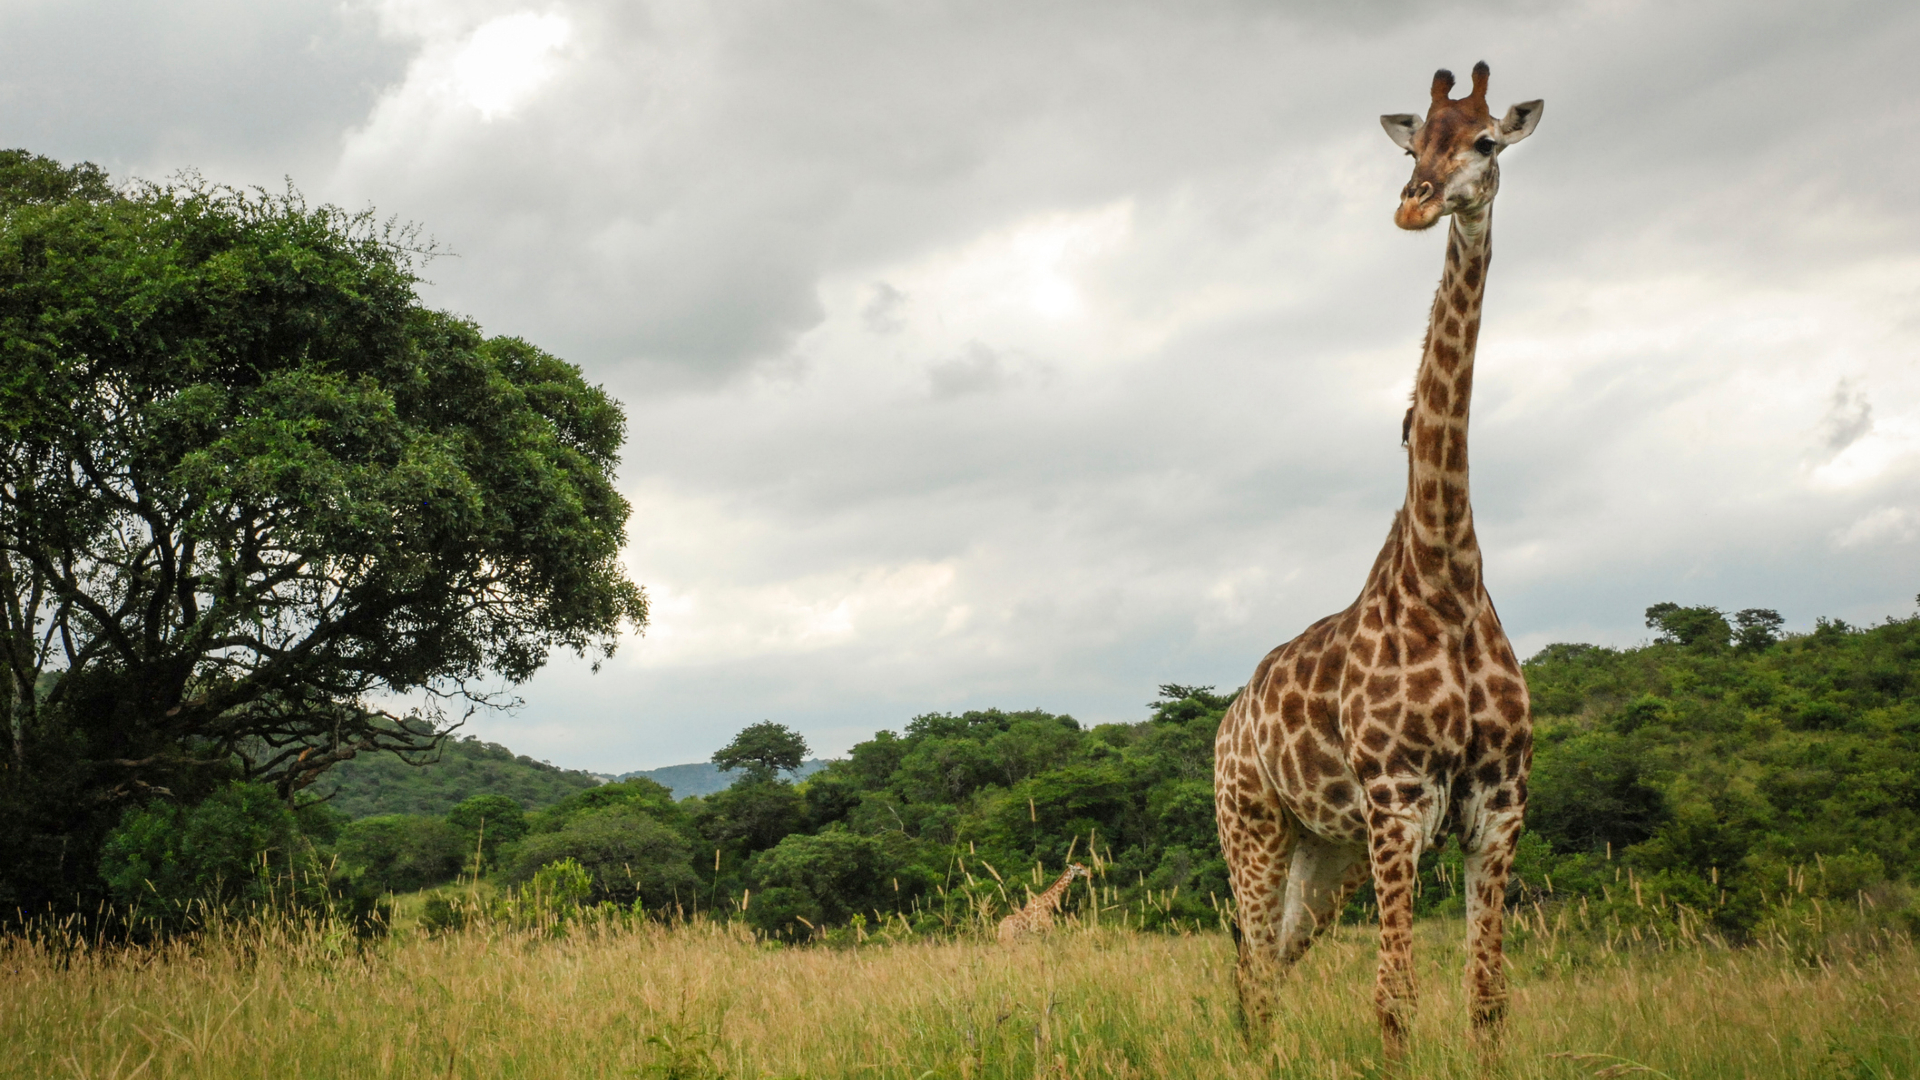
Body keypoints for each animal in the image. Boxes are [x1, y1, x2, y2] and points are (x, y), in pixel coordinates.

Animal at [1213, 61, 1543, 1060]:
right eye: (1412, 147)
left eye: (1484, 140)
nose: (1414, 205)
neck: (1448, 572)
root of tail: (1225, 724)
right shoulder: (1398, 802)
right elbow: (1395, 995)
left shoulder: (1498, 805)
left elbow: (1486, 995)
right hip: (1253, 826)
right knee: (1252, 968)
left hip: (1328, 853)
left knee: (1270, 962)